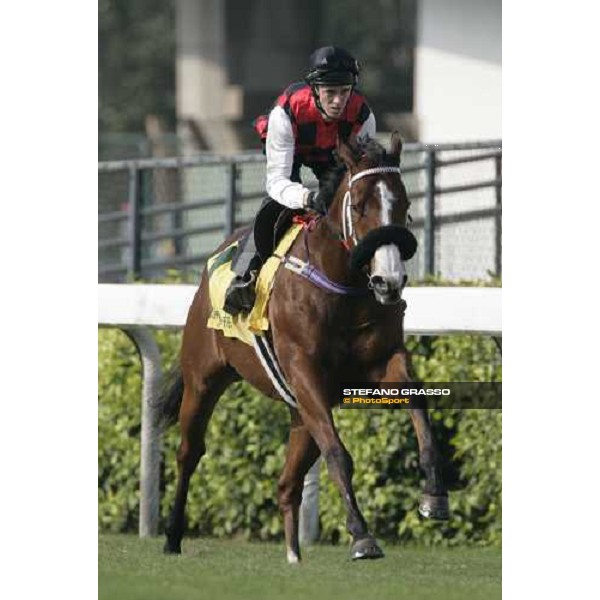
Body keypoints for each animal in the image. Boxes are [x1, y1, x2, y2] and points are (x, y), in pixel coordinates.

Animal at [157, 132, 448, 564]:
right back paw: (173, 536)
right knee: (189, 452)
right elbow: (339, 454)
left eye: (404, 205)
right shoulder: (304, 370)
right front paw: (362, 535)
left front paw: (434, 496)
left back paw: (294, 555)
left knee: (286, 482)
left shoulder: (382, 361)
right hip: (203, 379)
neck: (342, 287)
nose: (388, 281)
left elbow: (418, 404)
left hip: (300, 412)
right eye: (359, 206)